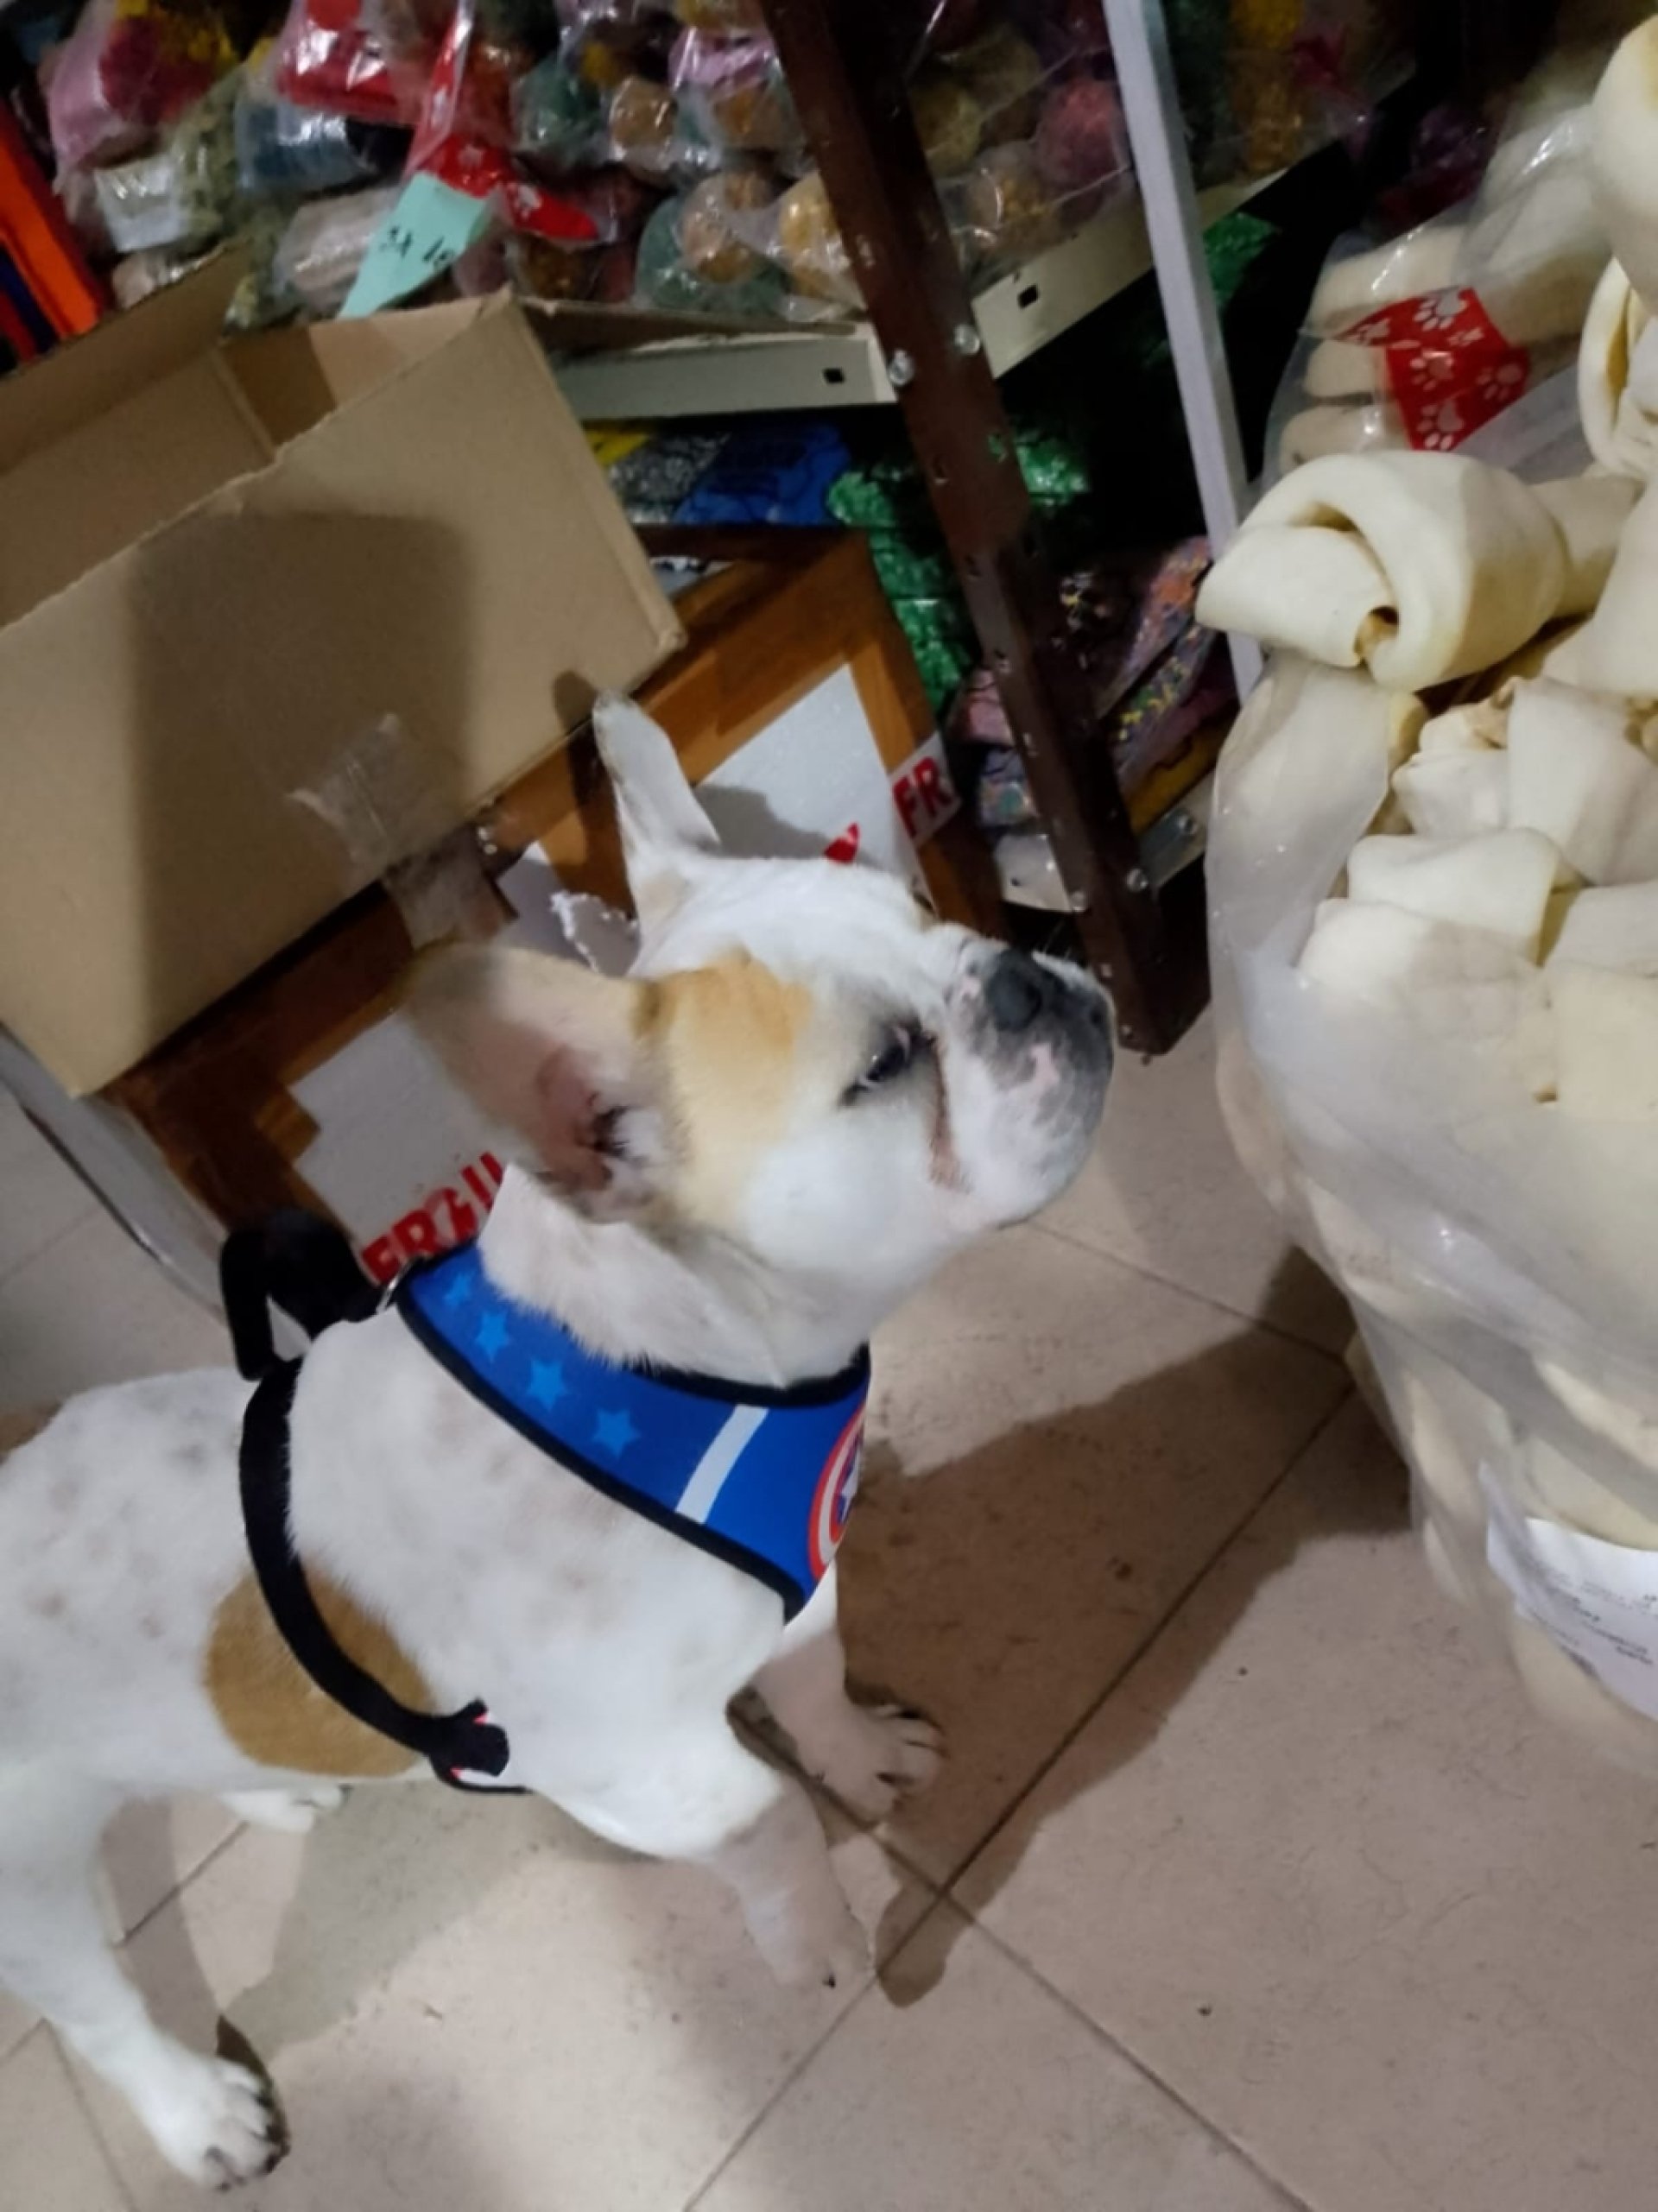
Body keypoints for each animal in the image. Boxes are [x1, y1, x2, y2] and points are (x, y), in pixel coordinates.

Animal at [0, 695, 1113, 2186]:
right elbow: (766, 1824)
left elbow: (815, 1682)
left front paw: (858, 1757)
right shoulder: (638, 1769)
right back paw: (194, 2109)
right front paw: (813, 1936)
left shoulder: (801, 1594)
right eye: (882, 1067)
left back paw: (274, 1800)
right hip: (27, 1880)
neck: (679, 1364)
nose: (1021, 975)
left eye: (929, 908)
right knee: (92, 2004)